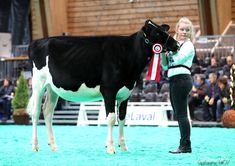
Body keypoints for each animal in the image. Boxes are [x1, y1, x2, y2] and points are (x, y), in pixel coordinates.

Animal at [27, 19, 178, 154]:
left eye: (164, 30)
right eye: (157, 33)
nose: (176, 44)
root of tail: (37, 42)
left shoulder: (125, 94)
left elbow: (122, 118)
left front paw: (123, 147)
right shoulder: (109, 91)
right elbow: (111, 118)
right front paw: (110, 147)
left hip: (52, 88)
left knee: (47, 111)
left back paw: (53, 146)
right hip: (38, 84)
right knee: (36, 112)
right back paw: (35, 146)